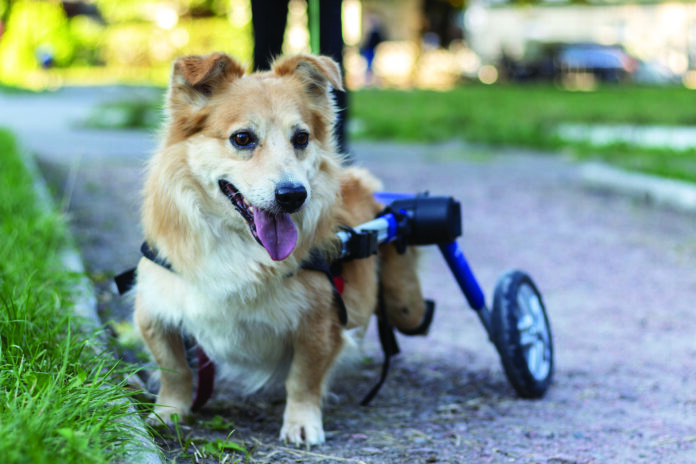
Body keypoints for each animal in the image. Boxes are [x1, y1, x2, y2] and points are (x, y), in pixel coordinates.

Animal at [135, 51, 430, 446]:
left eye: (301, 138)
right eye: (242, 138)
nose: (293, 195)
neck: (242, 245)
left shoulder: (319, 321)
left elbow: (303, 379)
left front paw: (301, 422)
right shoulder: (153, 310)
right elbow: (175, 369)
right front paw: (168, 412)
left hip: (405, 304)